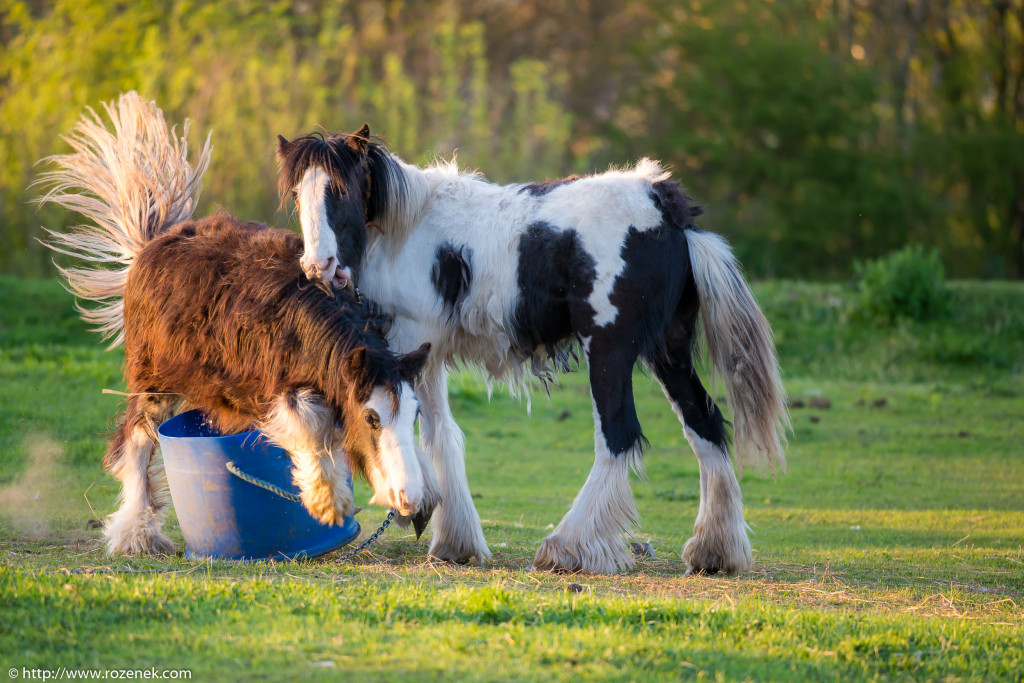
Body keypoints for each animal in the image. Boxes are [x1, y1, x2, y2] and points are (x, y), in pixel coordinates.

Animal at [38, 94, 436, 557]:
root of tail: (152, 242)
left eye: (415, 415)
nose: (407, 499)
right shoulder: (273, 386)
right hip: (152, 375)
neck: (307, 320)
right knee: (136, 442)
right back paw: (137, 532)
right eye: (372, 418)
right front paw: (328, 499)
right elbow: (308, 422)